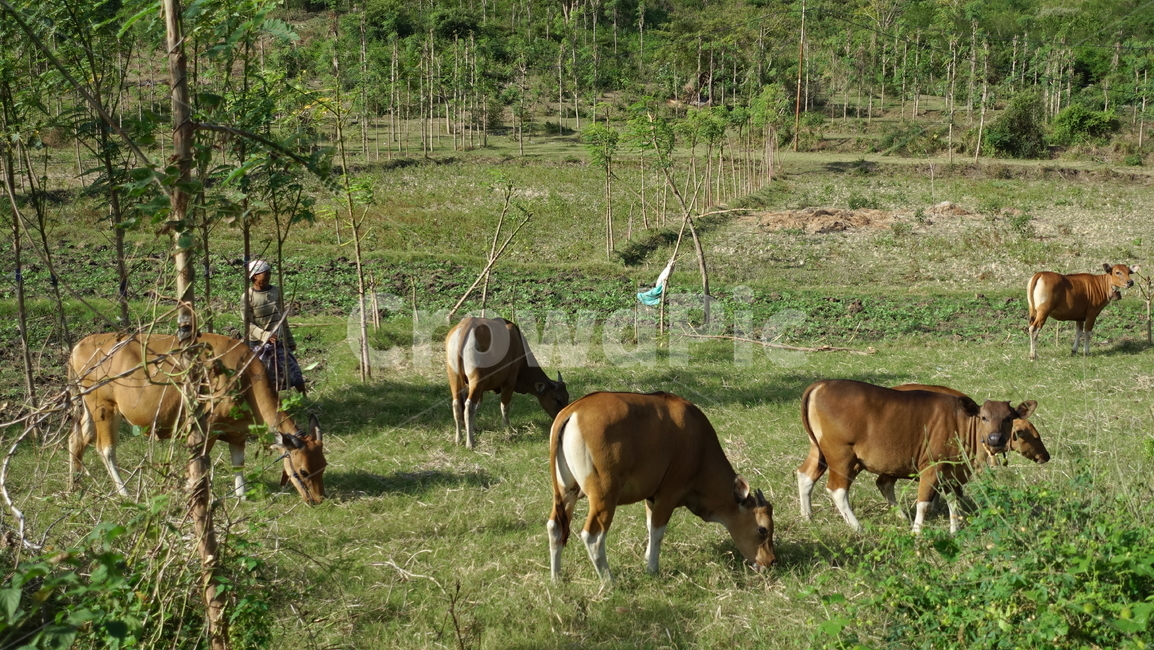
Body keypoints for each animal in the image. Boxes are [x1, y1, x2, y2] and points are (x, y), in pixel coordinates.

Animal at [69, 332, 327, 504]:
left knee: (77, 439)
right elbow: (201, 462)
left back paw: (75, 484)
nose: (318, 499)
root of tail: (81, 344)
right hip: (104, 407)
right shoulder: (207, 428)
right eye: (303, 471)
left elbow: (238, 463)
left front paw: (242, 495)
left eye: (323, 465)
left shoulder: (237, 432)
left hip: (89, 407)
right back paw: (124, 493)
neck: (245, 378)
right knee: (105, 450)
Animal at [445, 317, 568, 450]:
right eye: (558, 400)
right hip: (476, 379)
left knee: (457, 404)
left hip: (454, 376)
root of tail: (467, 326)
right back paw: (470, 442)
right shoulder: (510, 381)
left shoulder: (481, 389)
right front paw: (507, 428)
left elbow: (478, 406)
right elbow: (504, 406)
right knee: (469, 406)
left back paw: (458, 439)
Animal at [547, 391, 775, 582]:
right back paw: (609, 581)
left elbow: (650, 526)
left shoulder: (651, 496)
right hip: (604, 495)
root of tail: (573, 410)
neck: (699, 447)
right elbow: (658, 532)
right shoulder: (668, 495)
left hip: (566, 491)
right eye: (763, 529)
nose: (771, 561)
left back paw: (557, 578)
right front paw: (652, 568)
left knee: (555, 527)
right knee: (593, 537)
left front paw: (647, 557)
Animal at [797, 379, 1037, 534]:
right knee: (837, 490)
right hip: (841, 455)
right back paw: (858, 528)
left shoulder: (951, 471)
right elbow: (923, 502)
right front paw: (917, 531)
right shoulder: (931, 467)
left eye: (1008, 418)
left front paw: (955, 530)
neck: (959, 423)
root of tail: (821, 385)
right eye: (984, 417)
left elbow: (953, 501)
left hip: (818, 450)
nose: (995, 439)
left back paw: (807, 517)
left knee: (805, 475)